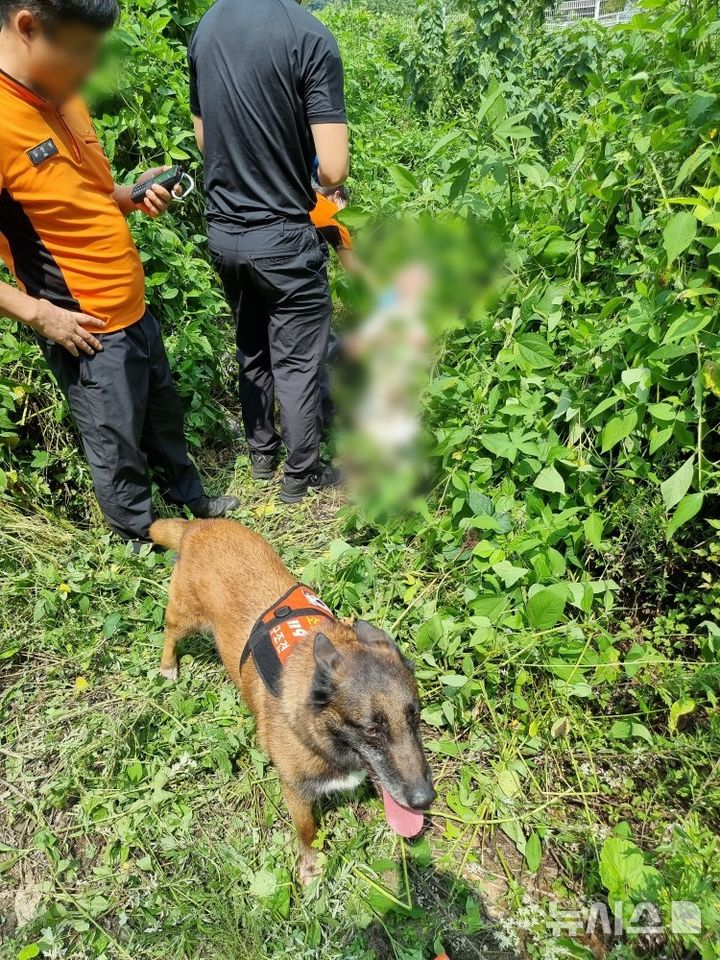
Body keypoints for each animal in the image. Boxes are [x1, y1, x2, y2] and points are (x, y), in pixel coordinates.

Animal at [149, 516, 436, 884]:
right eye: (372, 730)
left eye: (415, 718)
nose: (425, 800)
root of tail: (196, 527)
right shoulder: (295, 790)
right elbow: (307, 829)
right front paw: (311, 863)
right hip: (185, 617)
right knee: (170, 632)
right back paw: (168, 666)